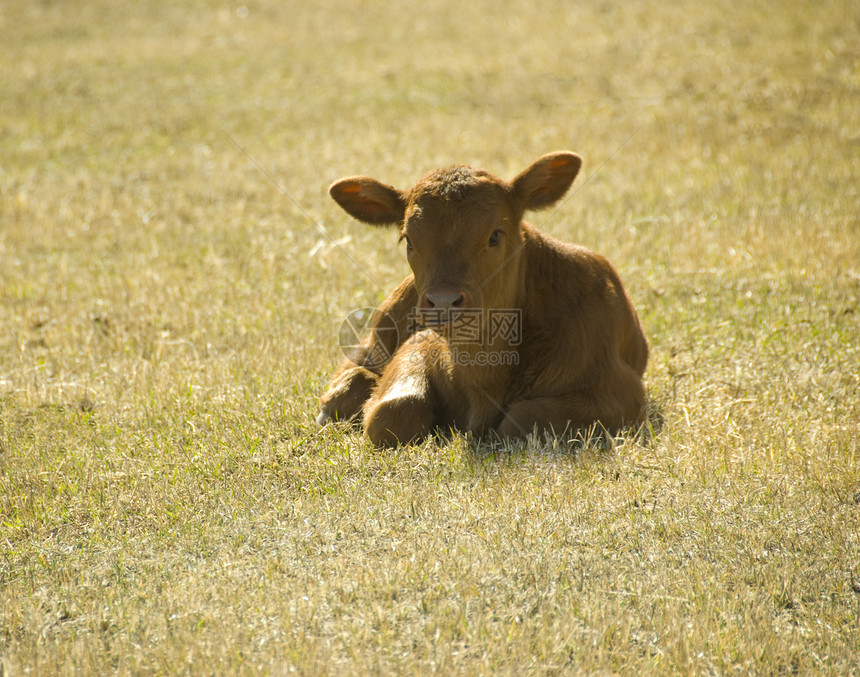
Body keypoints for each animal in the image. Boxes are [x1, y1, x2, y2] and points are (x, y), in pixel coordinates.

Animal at [320, 151, 648, 446]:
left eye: (494, 235)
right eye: (409, 240)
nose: (443, 301)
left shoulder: (621, 392)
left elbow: (521, 418)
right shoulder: (419, 342)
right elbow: (394, 411)